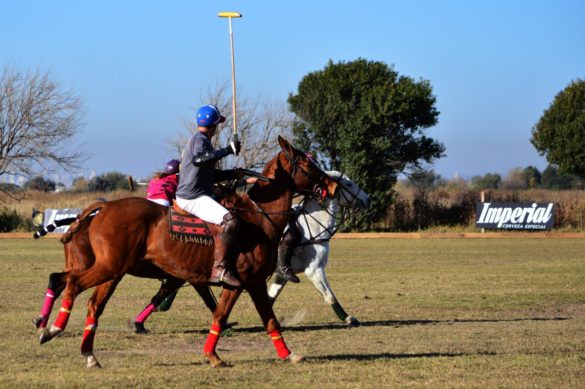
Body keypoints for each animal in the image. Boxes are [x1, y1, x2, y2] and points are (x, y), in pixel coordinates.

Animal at [37, 136, 338, 366]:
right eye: (308, 163)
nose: (333, 186)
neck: (259, 218)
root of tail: (104, 207)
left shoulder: (246, 283)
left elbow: (261, 319)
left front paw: (287, 355)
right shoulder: (239, 281)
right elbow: (228, 313)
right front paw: (215, 354)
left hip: (112, 271)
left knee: (90, 302)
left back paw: (86, 353)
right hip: (108, 267)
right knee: (72, 284)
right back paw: (51, 329)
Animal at [266, 171, 368, 326]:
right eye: (349, 184)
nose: (367, 199)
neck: (314, 225)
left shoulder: (282, 274)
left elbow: (270, 297)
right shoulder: (314, 270)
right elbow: (330, 296)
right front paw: (349, 318)